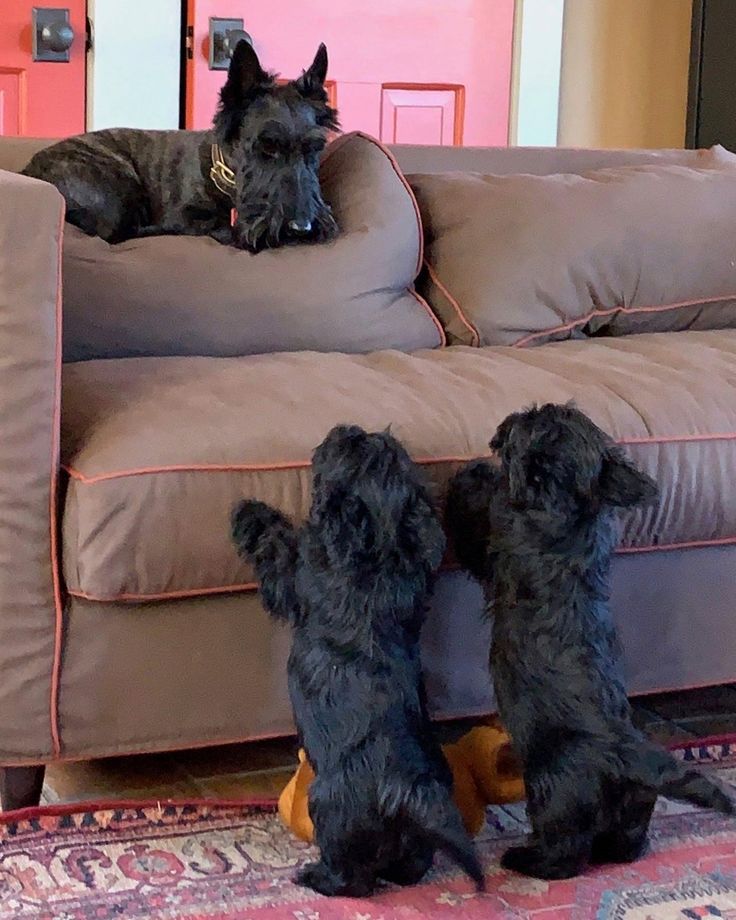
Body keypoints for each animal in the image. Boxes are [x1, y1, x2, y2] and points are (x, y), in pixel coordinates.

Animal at [22, 40, 340, 252]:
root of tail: (28, 171)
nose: (302, 227)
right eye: (267, 147)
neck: (223, 176)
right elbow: (212, 228)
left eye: (314, 148)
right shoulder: (189, 216)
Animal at [230, 426, 484, 900]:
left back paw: (315, 878)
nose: (346, 429)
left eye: (347, 452)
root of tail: (406, 793)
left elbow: (277, 546)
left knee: (353, 877)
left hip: (332, 809)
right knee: (409, 865)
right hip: (413, 840)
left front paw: (249, 511)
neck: (380, 551)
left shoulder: (298, 572)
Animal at [446, 406, 732, 880]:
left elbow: (480, 520)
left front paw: (474, 477)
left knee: (567, 853)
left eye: (531, 420)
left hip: (554, 792)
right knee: (625, 845)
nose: (514, 416)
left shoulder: (494, 541)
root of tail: (629, 760)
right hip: (633, 811)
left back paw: (524, 858)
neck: (571, 517)